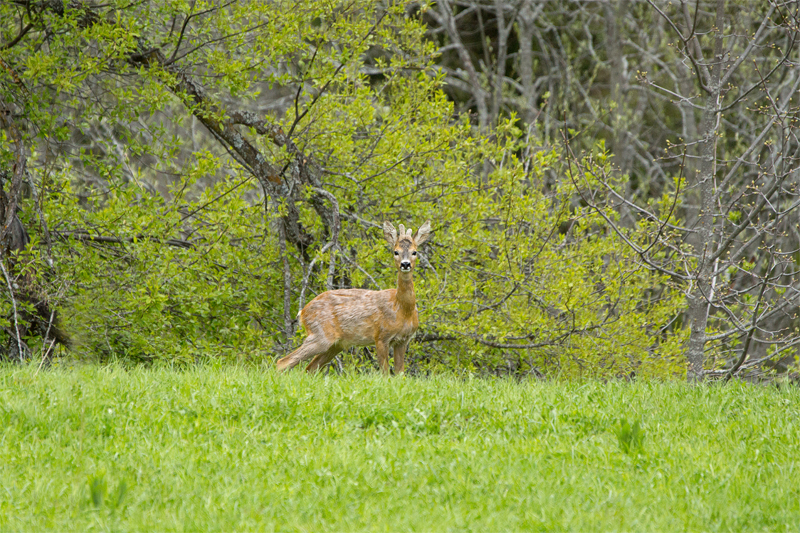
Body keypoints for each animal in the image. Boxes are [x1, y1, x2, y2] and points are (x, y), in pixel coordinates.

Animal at [278, 220, 434, 374]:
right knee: (283, 362)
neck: (402, 309)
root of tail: (302, 312)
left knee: (310, 368)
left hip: (335, 344)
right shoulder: (381, 336)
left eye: (414, 252)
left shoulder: (403, 340)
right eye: (396, 252)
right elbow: (385, 374)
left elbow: (400, 374)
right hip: (320, 335)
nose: (405, 264)